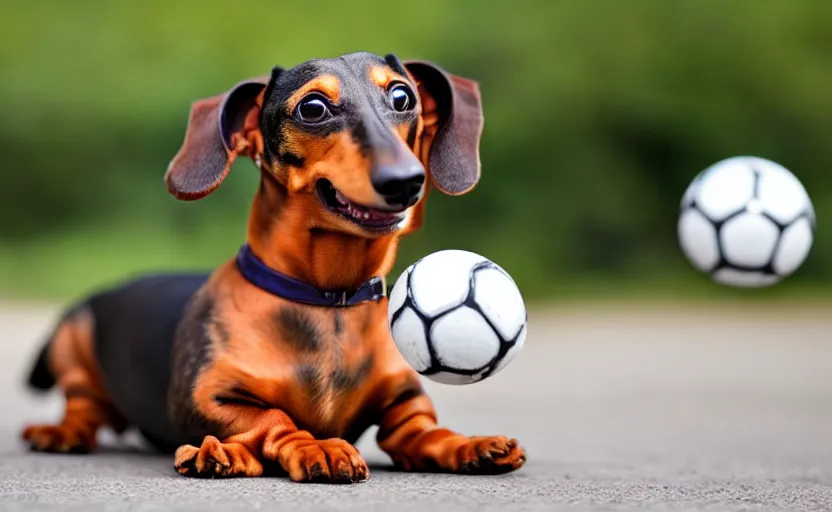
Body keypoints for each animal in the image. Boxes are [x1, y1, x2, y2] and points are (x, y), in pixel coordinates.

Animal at [21, 53, 528, 484]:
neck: (328, 301)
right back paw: (66, 434)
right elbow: (272, 416)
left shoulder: (406, 405)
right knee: (83, 407)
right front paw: (315, 446)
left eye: (402, 97)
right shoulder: (204, 397)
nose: (406, 182)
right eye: (313, 108)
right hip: (72, 344)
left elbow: (422, 431)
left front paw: (469, 445)